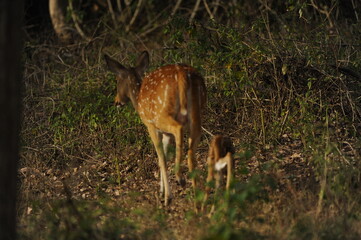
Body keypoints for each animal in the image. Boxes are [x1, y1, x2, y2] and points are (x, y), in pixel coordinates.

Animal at [104, 51, 205, 205]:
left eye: (117, 80)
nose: (116, 101)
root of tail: (183, 74)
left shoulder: (151, 126)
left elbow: (161, 157)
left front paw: (166, 195)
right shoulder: (165, 134)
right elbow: (162, 157)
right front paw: (162, 191)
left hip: (161, 114)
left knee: (178, 128)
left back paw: (180, 179)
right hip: (197, 114)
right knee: (192, 150)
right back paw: (197, 196)